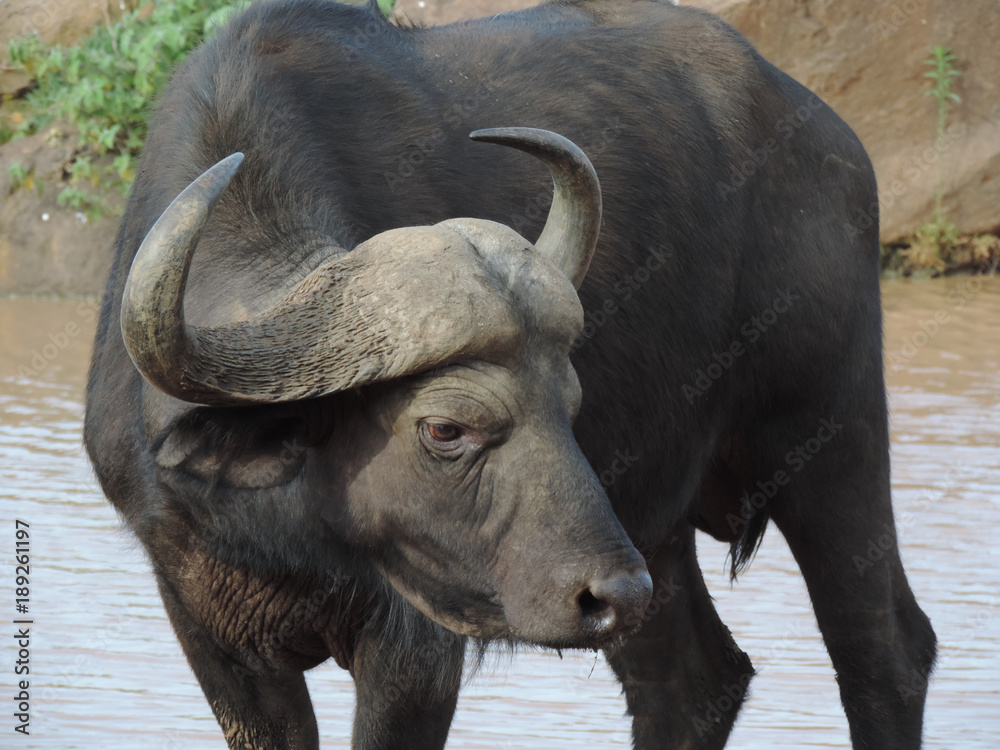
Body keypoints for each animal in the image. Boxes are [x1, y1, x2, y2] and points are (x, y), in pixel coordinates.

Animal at [84, 0, 936, 748]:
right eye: (445, 428)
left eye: (567, 404)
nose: (612, 593)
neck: (282, 522)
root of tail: (829, 140)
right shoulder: (212, 634)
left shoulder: (414, 650)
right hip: (650, 530)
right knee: (693, 680)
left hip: (830, 433)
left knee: (888, 650)